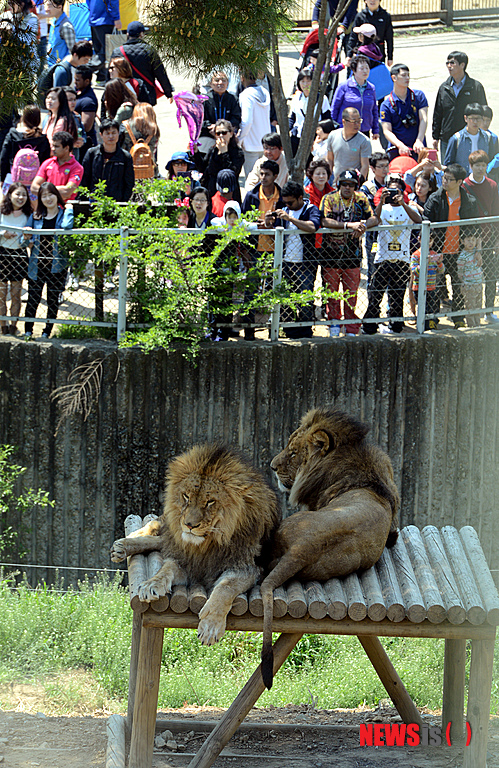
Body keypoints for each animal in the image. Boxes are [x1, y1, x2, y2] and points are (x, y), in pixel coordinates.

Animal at [110, 444, 282, 648]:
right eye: (186, 496)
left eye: (210, 502)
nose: (190, 525)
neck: (208, 545)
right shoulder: (187, 560)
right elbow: (166, 569)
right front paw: (152, 583)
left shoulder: (247, 568)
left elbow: (225, 588)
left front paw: (211, 626)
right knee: (158, 530)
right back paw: (124, 543)